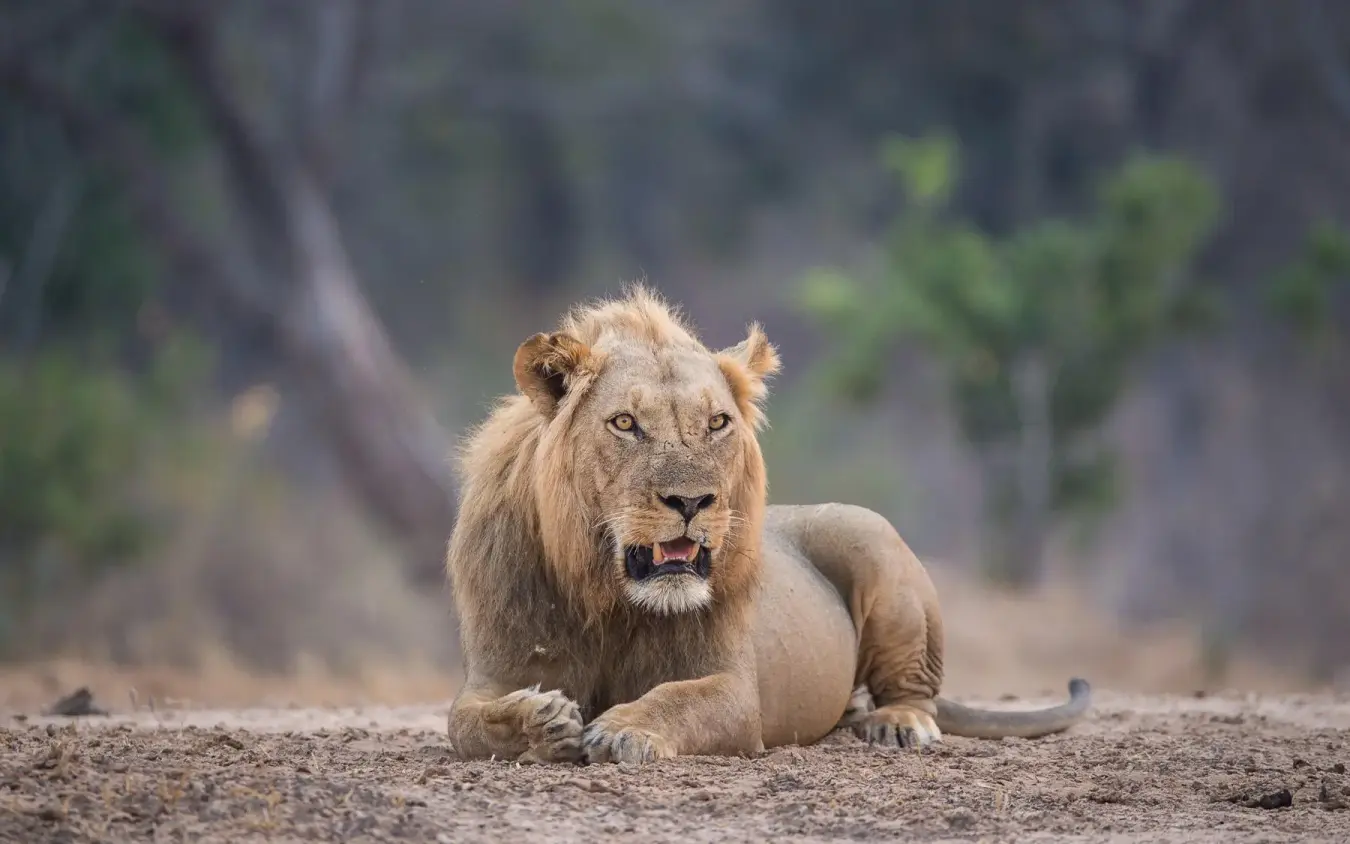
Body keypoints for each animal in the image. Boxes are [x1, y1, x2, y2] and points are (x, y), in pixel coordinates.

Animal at [445, 285, 1090, 764]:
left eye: (717, 423)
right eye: (625, 423)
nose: (691, 501)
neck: (608, 596)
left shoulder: (735, 690)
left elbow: (680, 698)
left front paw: (624, 727)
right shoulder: (496, 670)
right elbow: (464, 721)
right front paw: (541, 719)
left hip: (869, 535)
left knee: (917, 690)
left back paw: (899, 724)